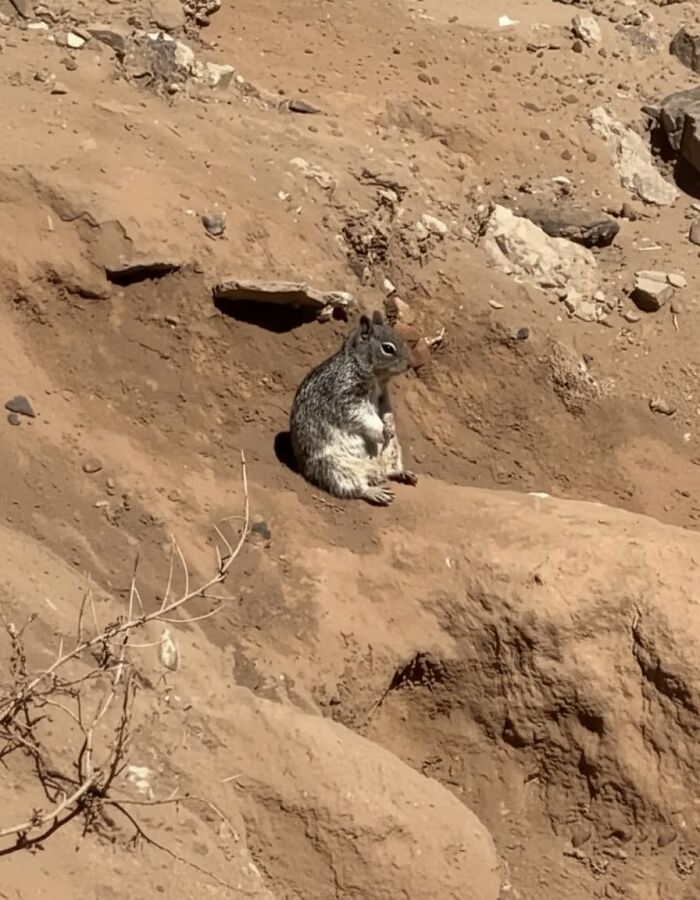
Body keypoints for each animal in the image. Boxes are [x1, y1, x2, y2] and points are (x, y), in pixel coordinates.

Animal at [289, 310, 418, 506]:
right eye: (388, 348)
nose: (410, 363)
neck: (377, 378)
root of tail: (375, 472)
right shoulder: (346, 396)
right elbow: (361, 415)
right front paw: (381, 430)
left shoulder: (383, 397)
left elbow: (387, 411)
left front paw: (389, 425)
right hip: (335, 467)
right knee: (356, 488)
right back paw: (374, 492)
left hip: (393, 450)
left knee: (390, 470)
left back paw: (402, 473)